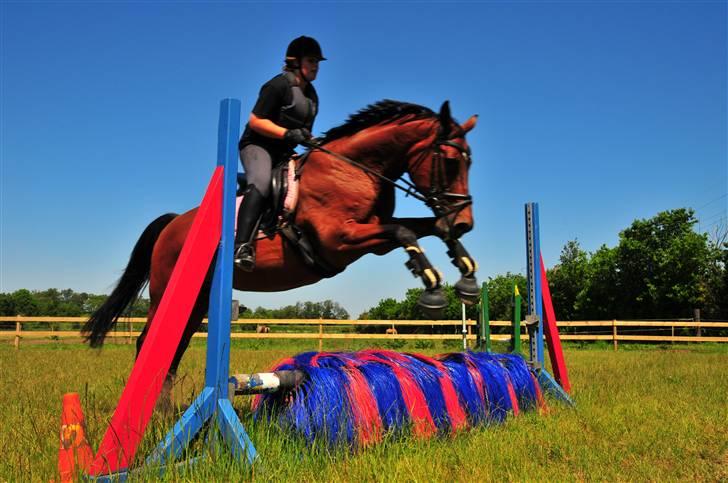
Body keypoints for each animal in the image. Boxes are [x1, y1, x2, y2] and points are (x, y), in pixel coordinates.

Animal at [84, 99, 478, 394]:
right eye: (450, 162)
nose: (465, 221)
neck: (356, 170)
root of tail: (173, 223)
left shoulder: (371, 239)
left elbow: (427, 228)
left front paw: (467, 277)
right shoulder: (340, 241)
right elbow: (404, 232)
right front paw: (433, 292)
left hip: (198, 299)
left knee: (174, 346)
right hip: (168, 291)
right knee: (148, 343)